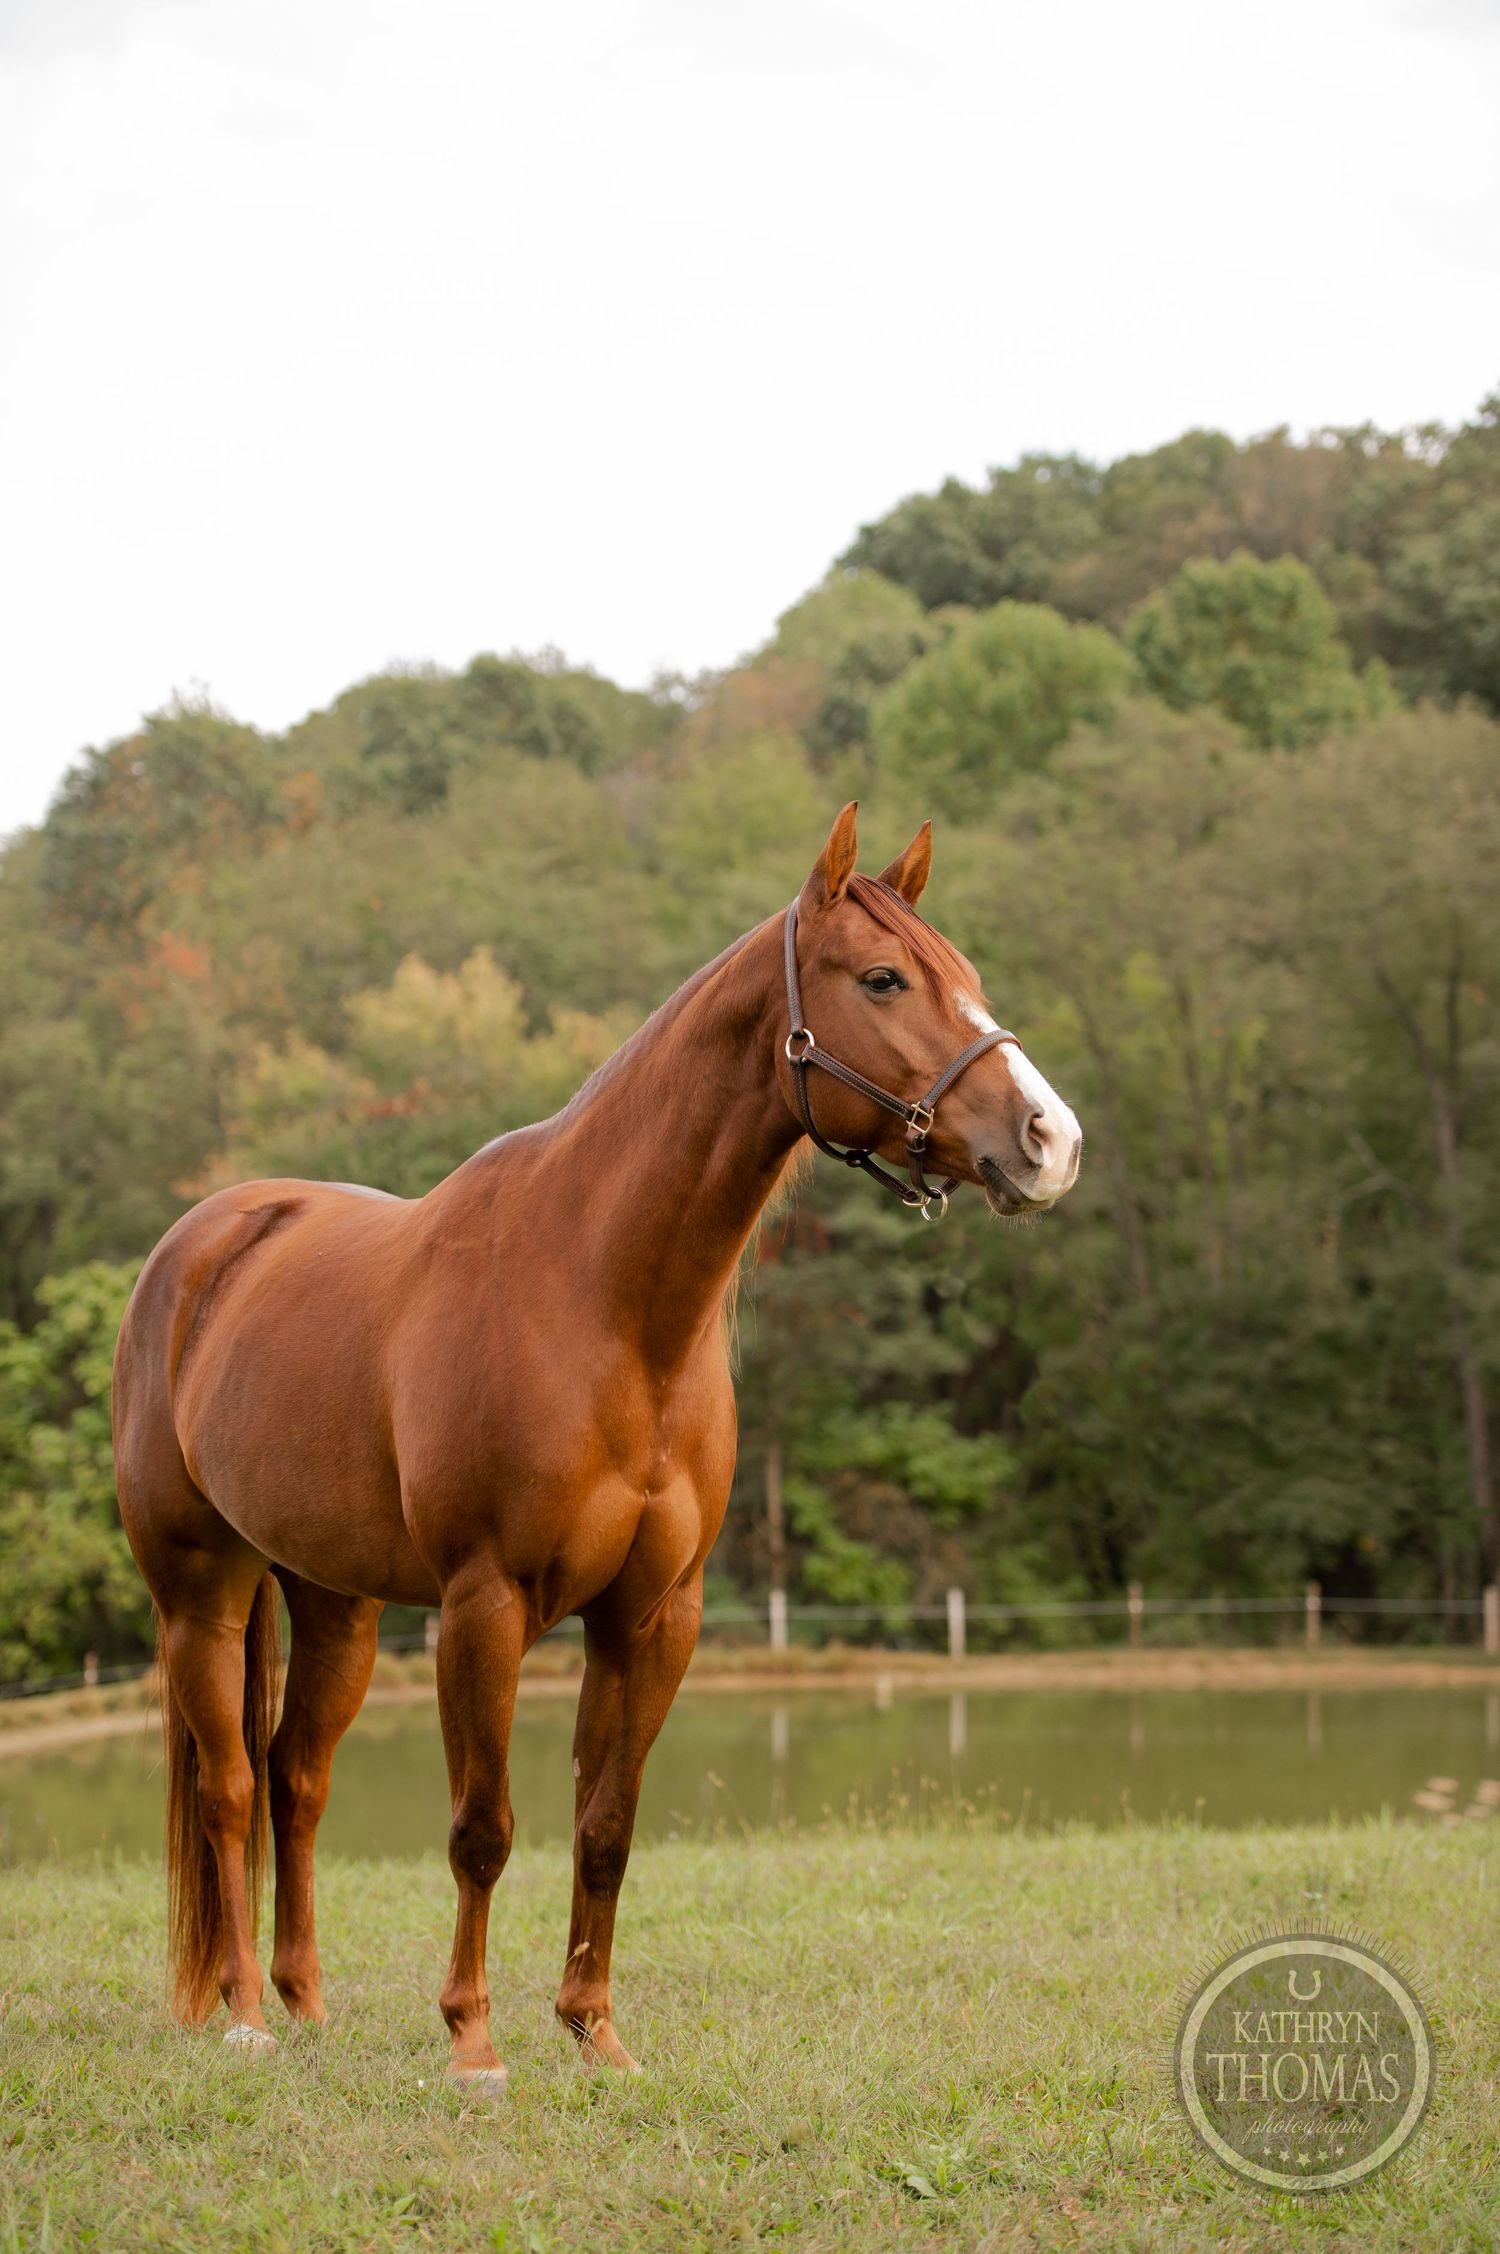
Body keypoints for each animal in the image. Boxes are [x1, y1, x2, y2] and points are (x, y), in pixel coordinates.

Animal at [113, 803, 1081, 2091]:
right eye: (883, 977)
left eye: (964, 975)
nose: (1049, 1138)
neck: (604, 1301)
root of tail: (203, 1242)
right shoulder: (485, 1608)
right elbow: (483, 1828)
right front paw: (473, 2042)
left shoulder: (654, 1614)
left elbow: (606, 1825)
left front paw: (594, 2030)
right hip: (201, 1593)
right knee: (227, 1786)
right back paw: (243, 2018)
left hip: (335, 1605)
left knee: (295, 1780)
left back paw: (306, 2004)